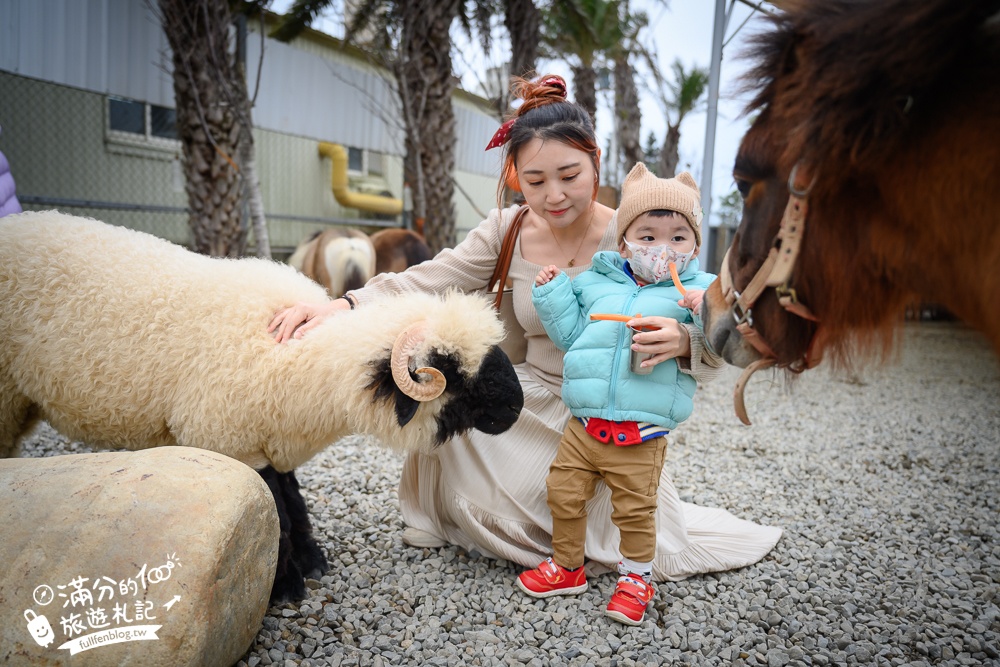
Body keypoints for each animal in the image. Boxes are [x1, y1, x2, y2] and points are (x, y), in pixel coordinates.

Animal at [0, 211, 528, 604]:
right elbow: (275, 513)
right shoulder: (230, 442)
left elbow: (293, 501)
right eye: (452, 370)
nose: (518, 405)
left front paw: (312, 561)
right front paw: (284, 585)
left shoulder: (270, 435)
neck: (299, 362)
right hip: (6, 393)